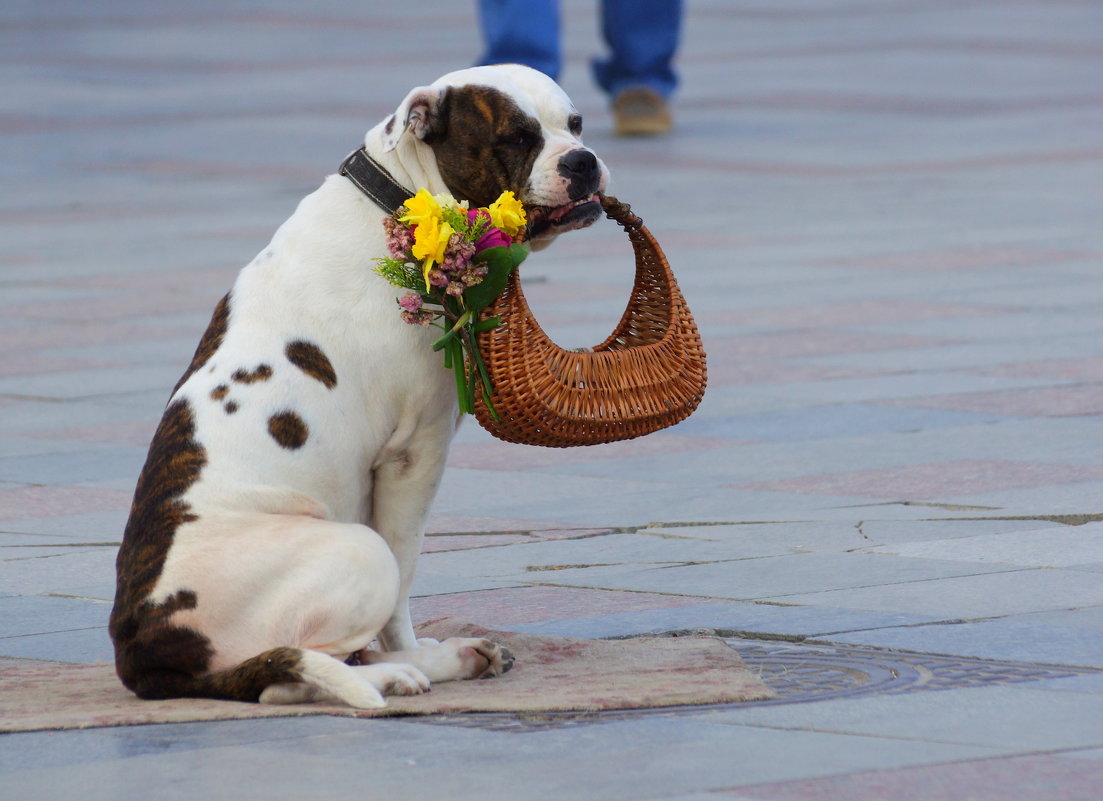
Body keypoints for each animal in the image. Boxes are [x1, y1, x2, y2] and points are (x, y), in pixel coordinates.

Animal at [109, 67, 613, 710]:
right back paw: (405, 671)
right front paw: (411, 650)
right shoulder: (413, 455)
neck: (399, 194)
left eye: (575, 125)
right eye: (518, 138)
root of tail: (140, 651)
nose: (582, 160)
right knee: (292, 673)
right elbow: (406, 568)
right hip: (352, 550)